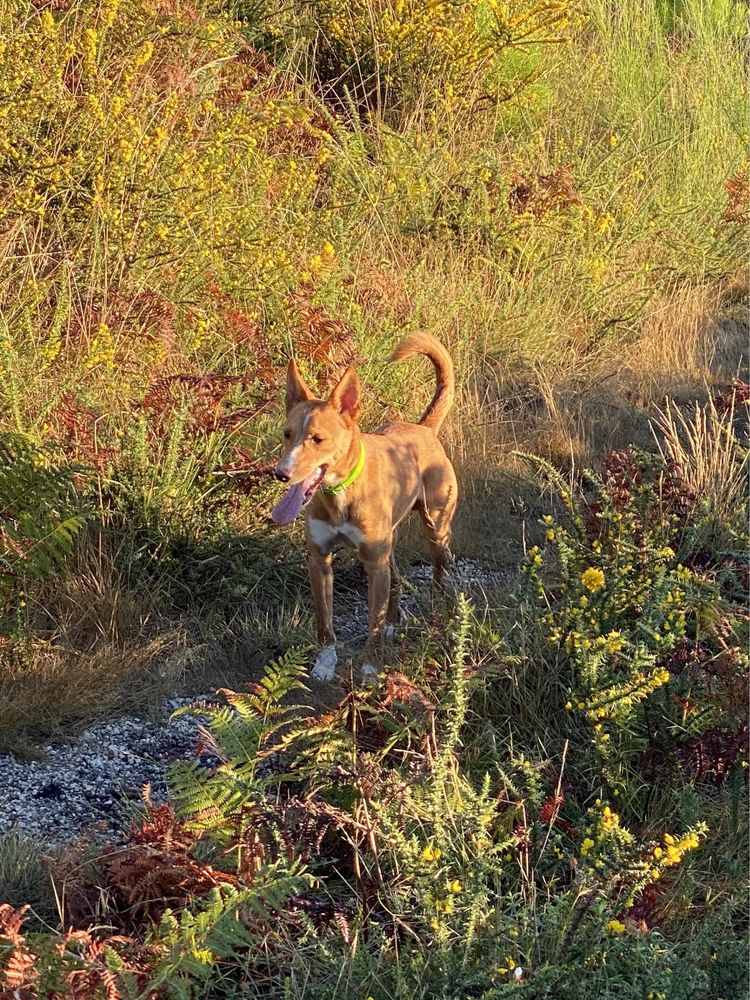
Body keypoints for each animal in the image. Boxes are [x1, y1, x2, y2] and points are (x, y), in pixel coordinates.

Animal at [272, 332, 458, 684]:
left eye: (317, 439)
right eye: (287, 434)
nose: (281, 473)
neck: (340, 495)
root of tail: (424, 428)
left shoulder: (373, 563)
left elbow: (372, 623)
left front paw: (372, 670)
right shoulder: (320, 560)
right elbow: (325, 623)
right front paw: (325, 663)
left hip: (436, 530)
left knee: (441, 574)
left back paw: (442, 614)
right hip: (389, 546)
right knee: (396, 579)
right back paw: (395, 622)